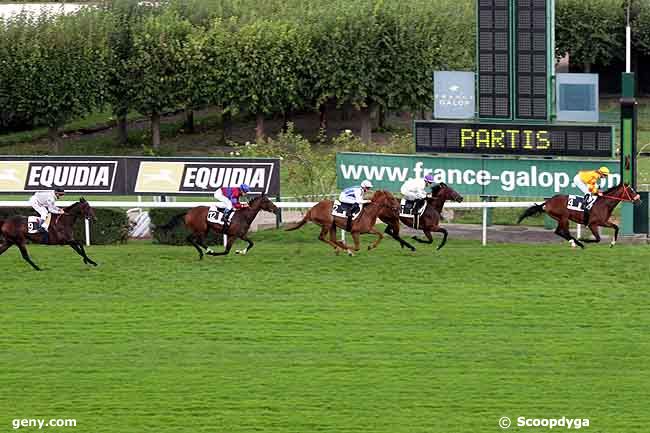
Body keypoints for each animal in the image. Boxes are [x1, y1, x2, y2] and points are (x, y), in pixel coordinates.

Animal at [512, 182, 640, 248]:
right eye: (631, 191)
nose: (639, 200)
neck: (604, 203)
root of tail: (547, 202)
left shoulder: (603, 222)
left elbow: (616, 227)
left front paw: (613, 243)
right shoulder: (592, 224)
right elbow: (598, 239)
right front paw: (584, 239)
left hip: (561, 219)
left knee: (559, 232)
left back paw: (575, 242)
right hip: (564, 218)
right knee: (561, 232)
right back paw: (578, 242)